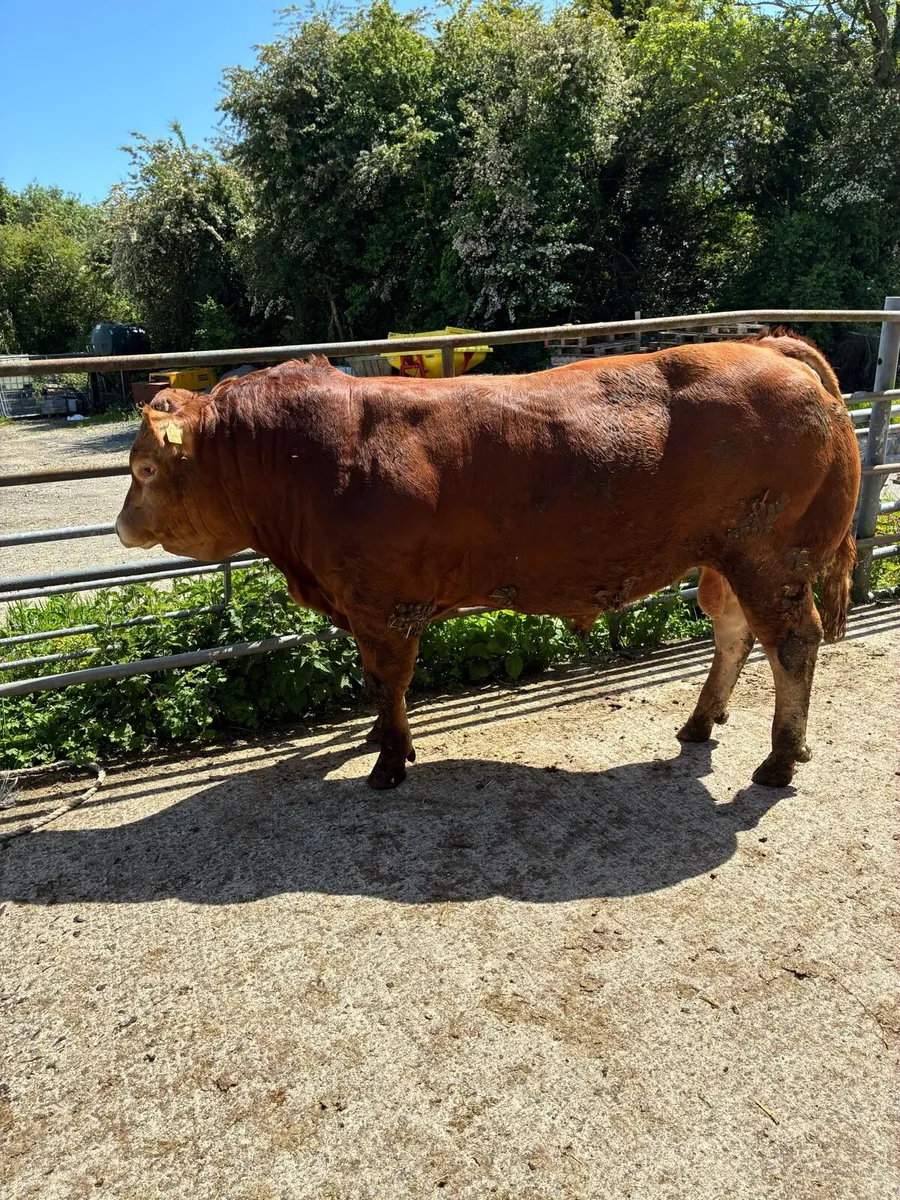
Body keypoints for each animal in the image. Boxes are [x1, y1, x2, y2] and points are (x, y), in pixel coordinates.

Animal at [116, 330, 860, 791]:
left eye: (145, 468)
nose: (121, 527)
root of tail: (770, 346)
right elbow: (375, 682)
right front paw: (376, 738)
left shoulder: (384, 605)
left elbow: (389, 679)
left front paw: (389, 760)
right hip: (725, 560)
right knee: (734, 632)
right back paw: (703, 723)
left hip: (772, 557)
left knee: (793, 643)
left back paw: (780, 757)